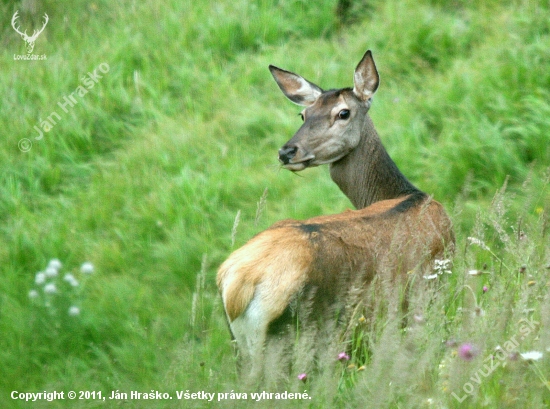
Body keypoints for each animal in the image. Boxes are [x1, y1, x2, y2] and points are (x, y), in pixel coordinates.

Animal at [218, 49, 454, 378]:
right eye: (303, 115)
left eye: (343, 113)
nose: (287, 152)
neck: (409, 194)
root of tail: (238, 287)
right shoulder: (434, 292)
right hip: (291, 341)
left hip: (241, 347)